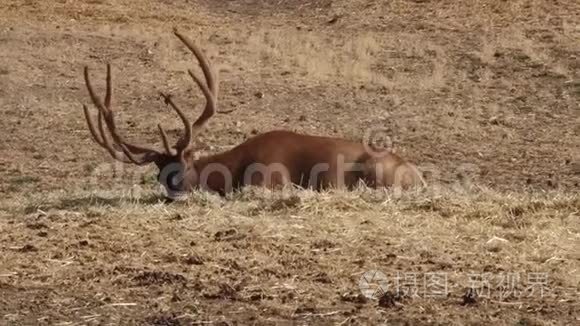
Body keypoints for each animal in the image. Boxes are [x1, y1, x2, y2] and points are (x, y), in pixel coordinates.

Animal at [81, 28, 426, 201]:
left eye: (184, 166)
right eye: (160, 174)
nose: (174, 195)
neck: (233, 169)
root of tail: (416, 174)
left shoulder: (271, 179)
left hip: (377, 173)